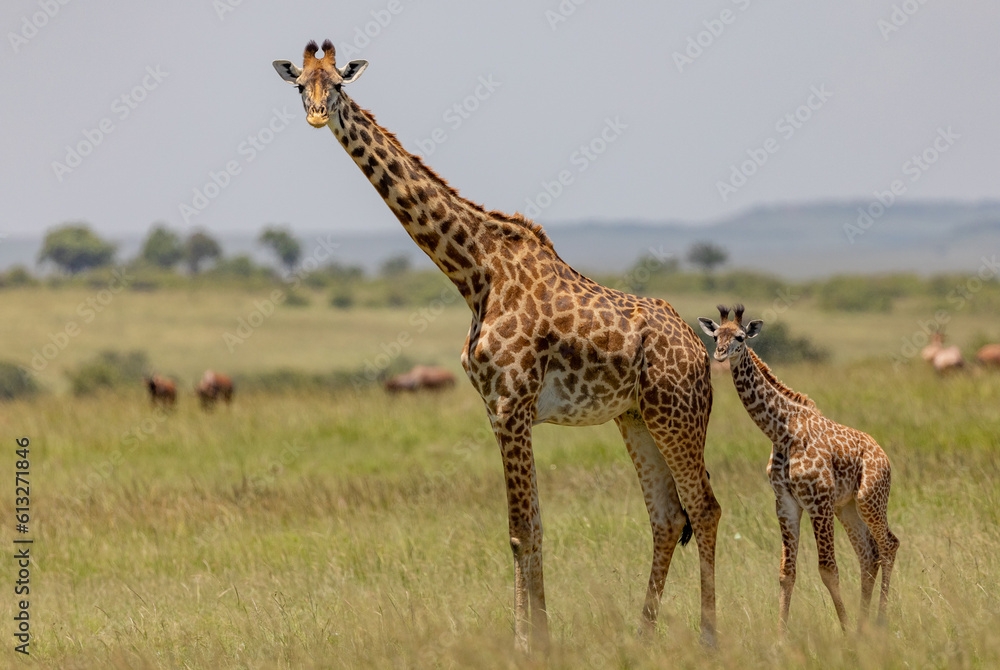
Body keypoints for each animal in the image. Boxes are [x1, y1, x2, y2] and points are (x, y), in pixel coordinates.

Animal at [273, 40, 721, 652]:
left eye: (338, 84)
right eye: (301, 85)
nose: (318, 115)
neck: (474, 271)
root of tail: (700, 353)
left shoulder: (512, 405)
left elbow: (520, 528)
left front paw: (531, 644)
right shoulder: (497, 410)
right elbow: (526, 527)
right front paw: (534, 639)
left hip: (678, 415)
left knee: (705, 508)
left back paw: (709, 638)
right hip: (636, 417)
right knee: (668, 516)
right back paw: (642, 635)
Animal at [698, 305, 899, 635]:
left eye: (740, 337)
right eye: (716, 335)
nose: (720, 354)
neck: (781, 430)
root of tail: (884, 456)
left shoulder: (818, 500)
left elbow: (828, 569)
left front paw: (844, 630)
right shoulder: (786, 501)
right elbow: (786, 572)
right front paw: (781, 635)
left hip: (870, 499)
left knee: (889, 545)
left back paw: (880, 621)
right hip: (847, 508)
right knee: (868, 554)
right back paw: (864, 624)